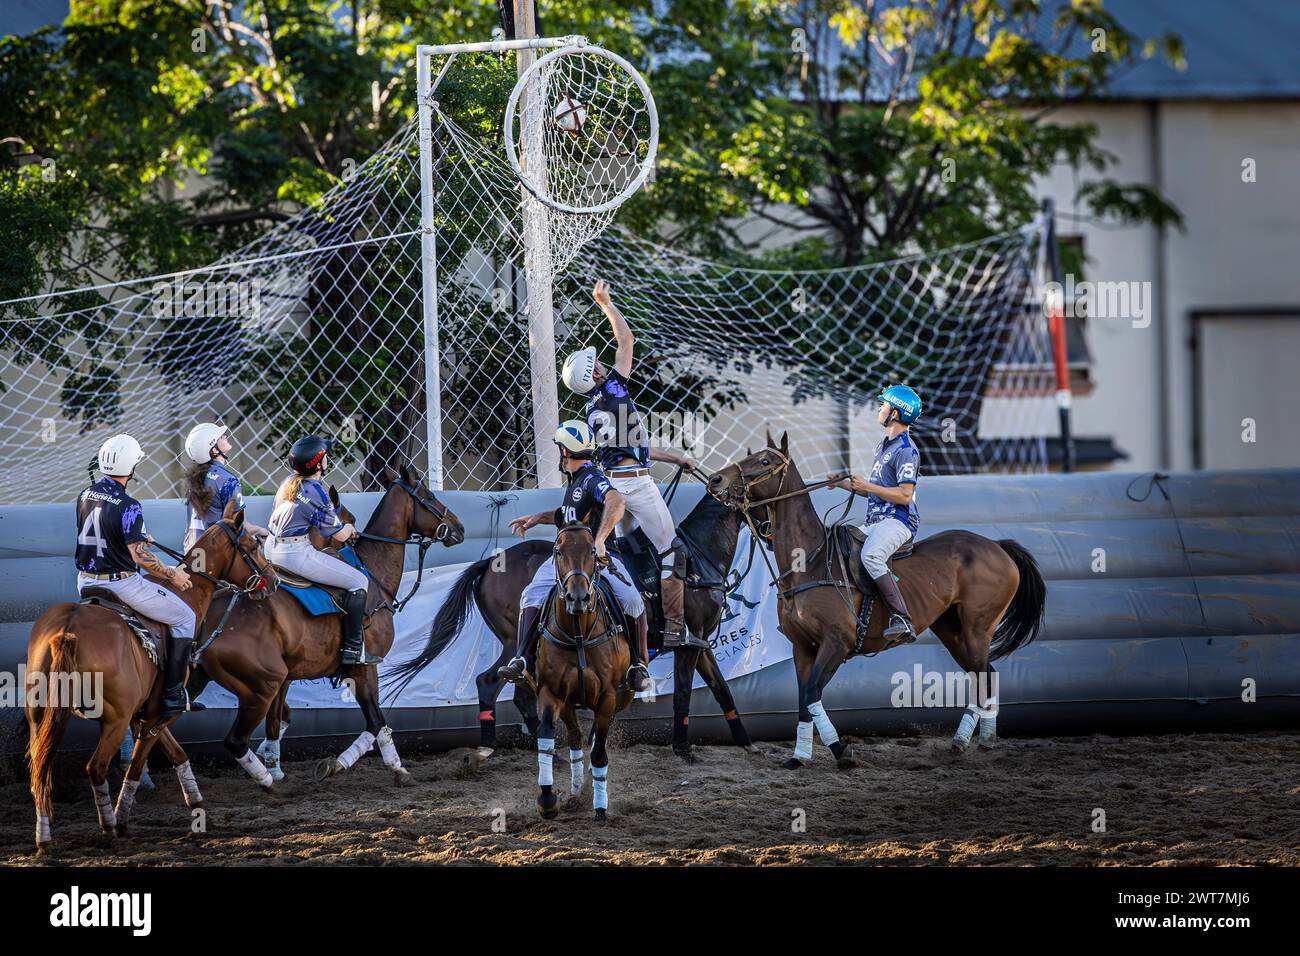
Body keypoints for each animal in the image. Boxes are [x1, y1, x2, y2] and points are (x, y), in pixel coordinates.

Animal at [24, 512, 276, 858]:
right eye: (253, 545)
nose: (274, 580)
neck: (186, 595)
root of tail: (67, 629)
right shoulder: (157, 713)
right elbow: (137, 765)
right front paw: (122, 819)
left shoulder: (146, 713)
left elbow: (177, 753)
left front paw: (197, 802)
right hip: (113, 721)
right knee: (95, 767)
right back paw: (107, 826)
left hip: (41, 715)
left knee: (40, 768)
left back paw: (45, 837)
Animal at [185, 463, 465, 785]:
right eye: (430, 497)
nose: (460, 528)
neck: (373, 570)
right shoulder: (364, 666)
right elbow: (376, 721)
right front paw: (354, 765)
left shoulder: (296, 679)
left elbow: (282, 721)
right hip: (262, 684)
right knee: (233, 739)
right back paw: (266, 781)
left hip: (199, 677)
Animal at [379, 481, 759, 764]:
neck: (698, 557)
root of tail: (488, 564)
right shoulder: (687, 643)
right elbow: (683, 694)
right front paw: (682, 749)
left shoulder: (701, 642)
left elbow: (722, 690)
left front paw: (747, 742)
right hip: (515, 640)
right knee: (492, 682)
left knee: (516, 691)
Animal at [533, 522, 634, 822]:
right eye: (558, 551)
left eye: (591, 550)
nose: (577, 597)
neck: (578, 633)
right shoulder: (551, 692)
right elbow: (546, 735)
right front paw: (547, 799)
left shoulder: (609, 697)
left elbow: (599, 751)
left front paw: (600, 806)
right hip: (569, 703)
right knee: (576, 739)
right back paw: (578, 788)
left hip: (624, 696)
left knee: (595, 741)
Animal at [707, 434, 1050, 770]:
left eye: (765, 461)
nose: (715, 478)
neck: (809, 562)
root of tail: (997, 545)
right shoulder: (802, 647)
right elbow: (805, 698)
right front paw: (799, 757)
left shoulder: (838, 643)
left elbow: (812, 693)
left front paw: (841, 750)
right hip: (952, 630)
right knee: (986, 675)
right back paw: (980, 741)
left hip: (978, 628)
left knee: (982, 675)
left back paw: (965, 740)